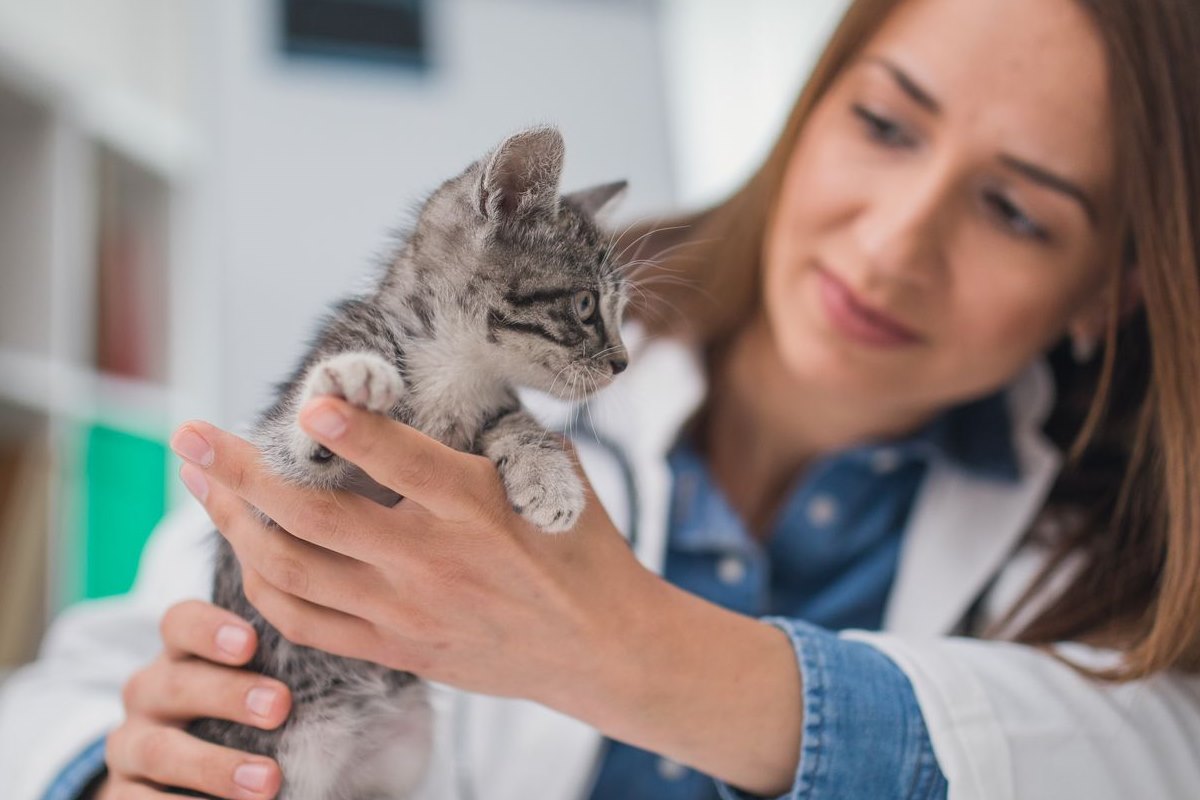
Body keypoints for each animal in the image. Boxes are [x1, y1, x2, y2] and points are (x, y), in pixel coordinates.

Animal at [184, 126, 628, 800]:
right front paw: (345, 388)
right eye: (583, 304)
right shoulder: (267, 498)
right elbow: (292, 450)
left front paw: (550, 481)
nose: (625, 362)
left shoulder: (491, 407)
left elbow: (516, 422)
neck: (456, 369)